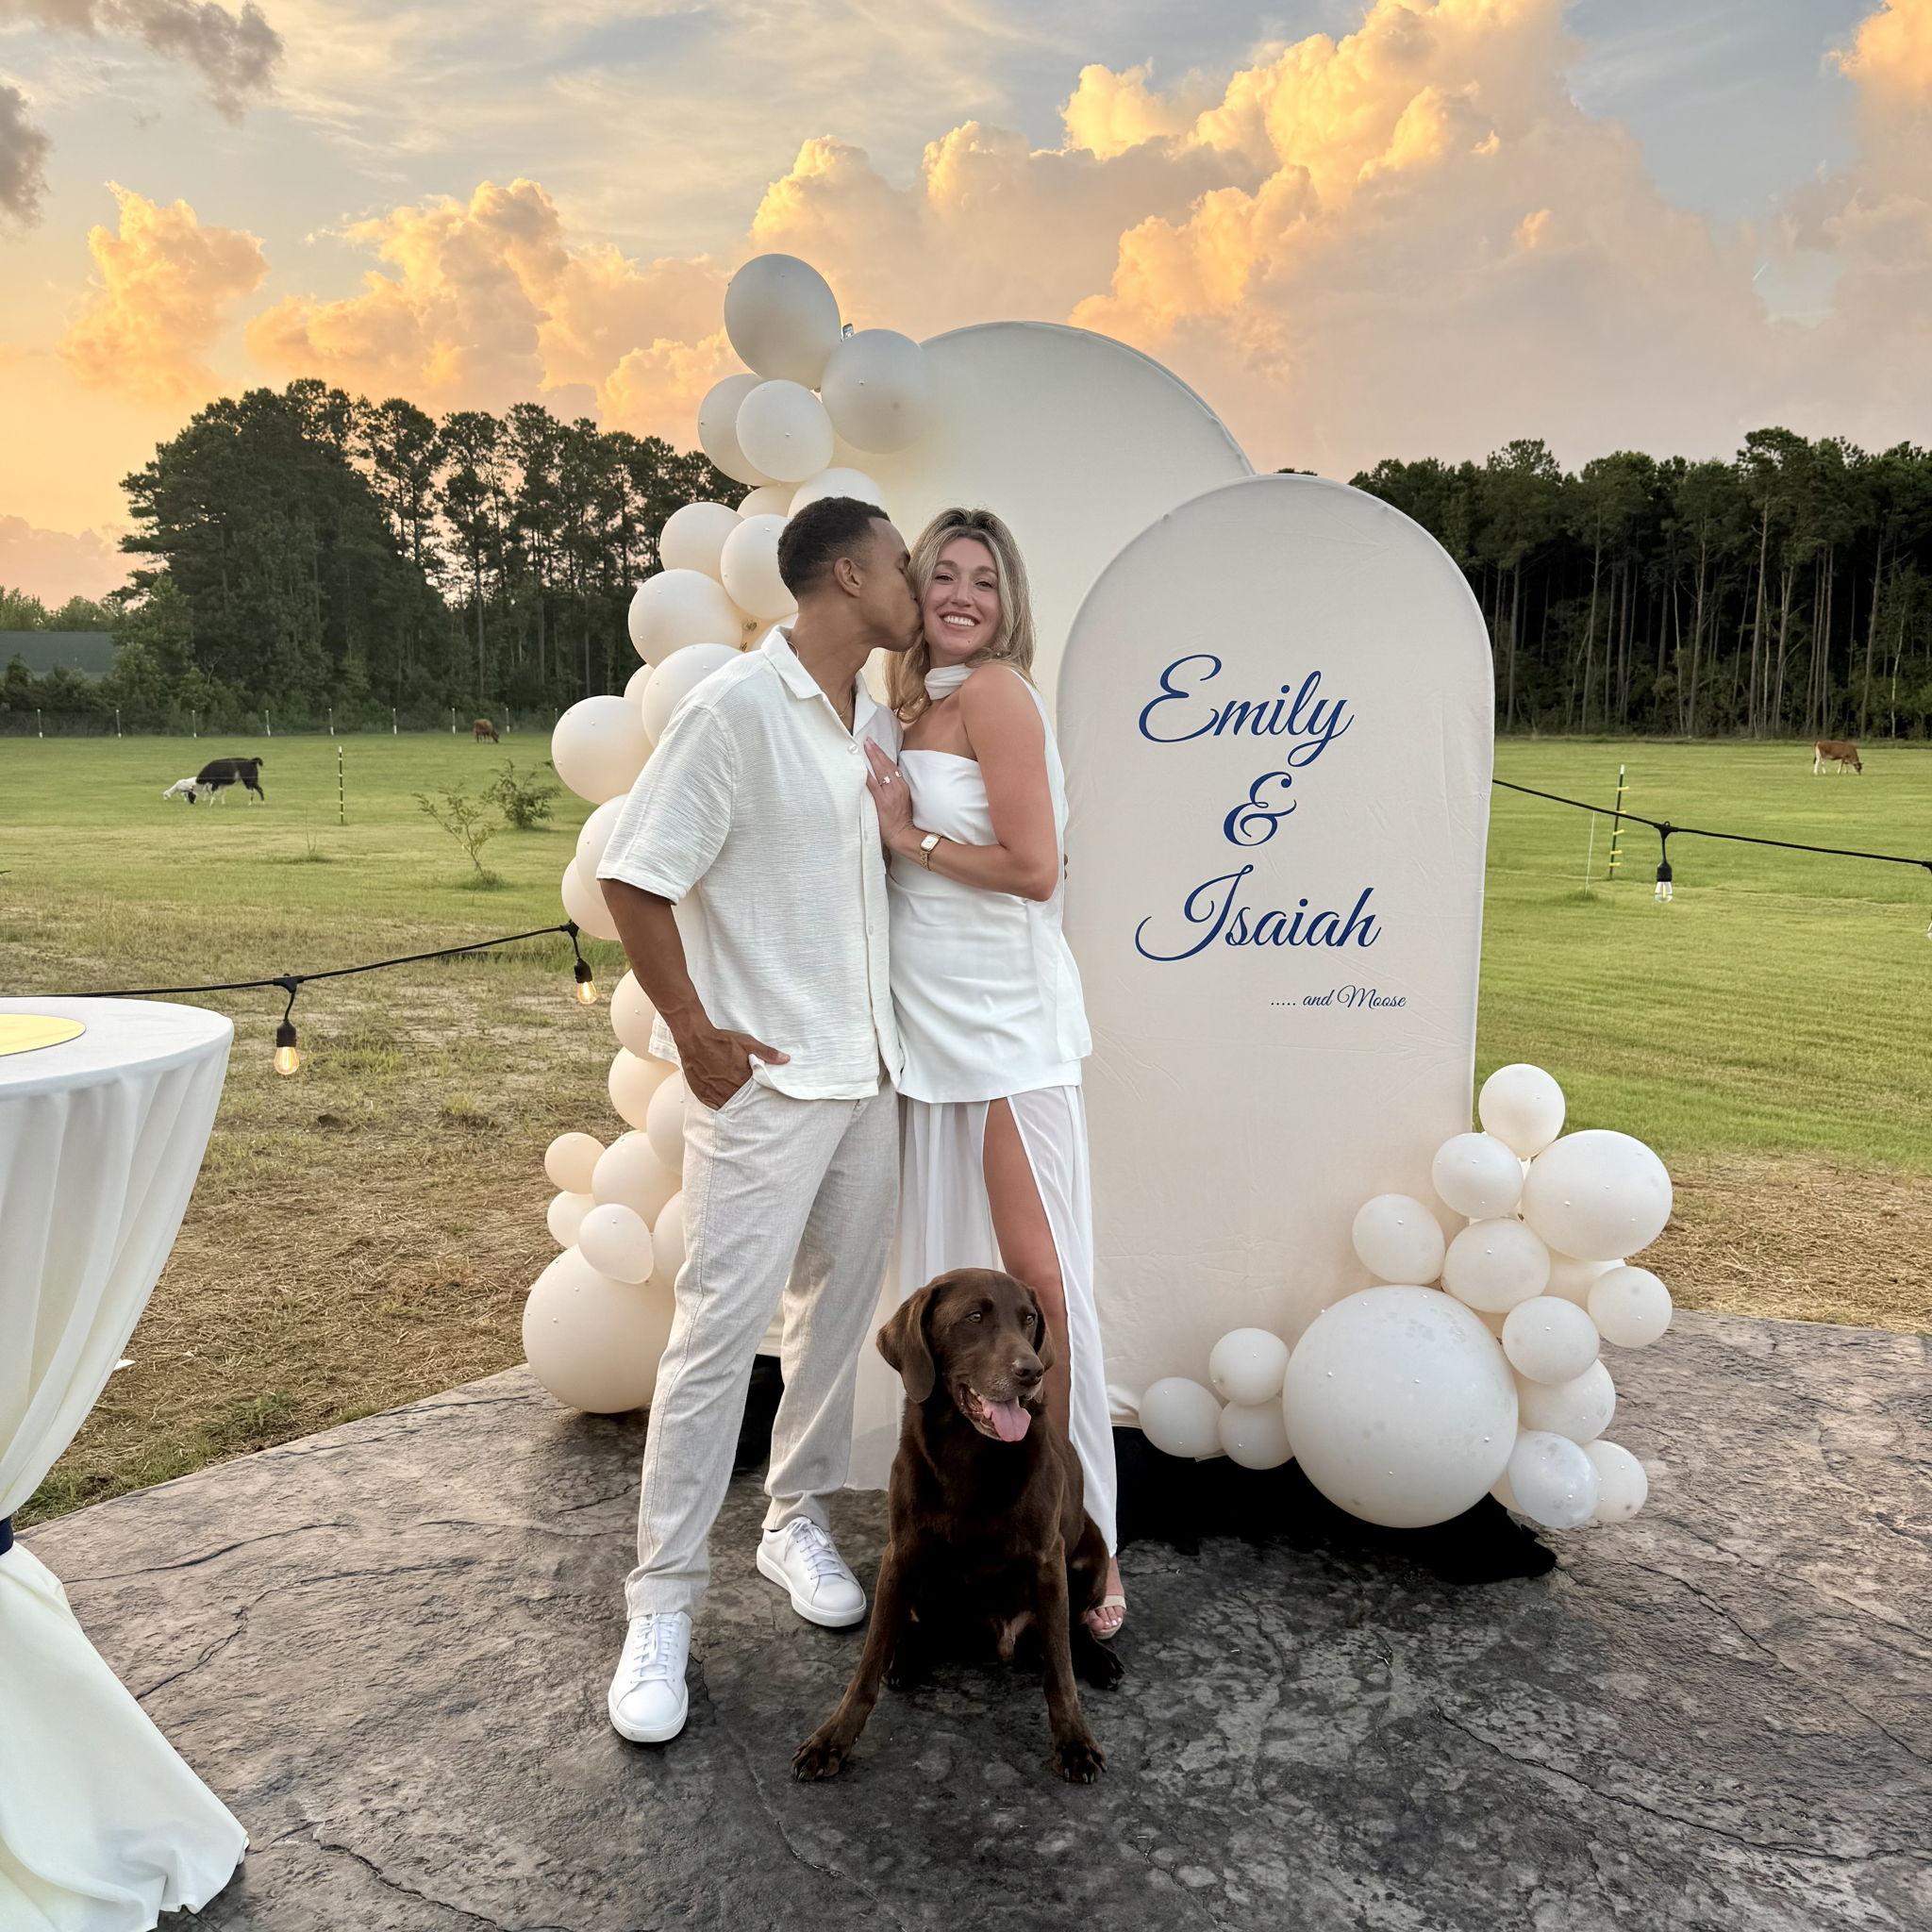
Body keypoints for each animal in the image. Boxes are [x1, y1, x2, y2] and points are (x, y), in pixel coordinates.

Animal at [794, 1268, 1120, 1785]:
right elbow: (867, 1664)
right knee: (915, 1625)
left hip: (1090, 1554)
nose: (1032, 1371)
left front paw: (1074, 1742)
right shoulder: (900, 1552)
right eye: (974, 1318)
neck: (968, 1450)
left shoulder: (1047, 1559)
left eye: (1029, 1320)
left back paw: (1099, 1658)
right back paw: (905, 1657)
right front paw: (833, 1739)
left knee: (1071, 1628)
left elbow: (1060, 1672)